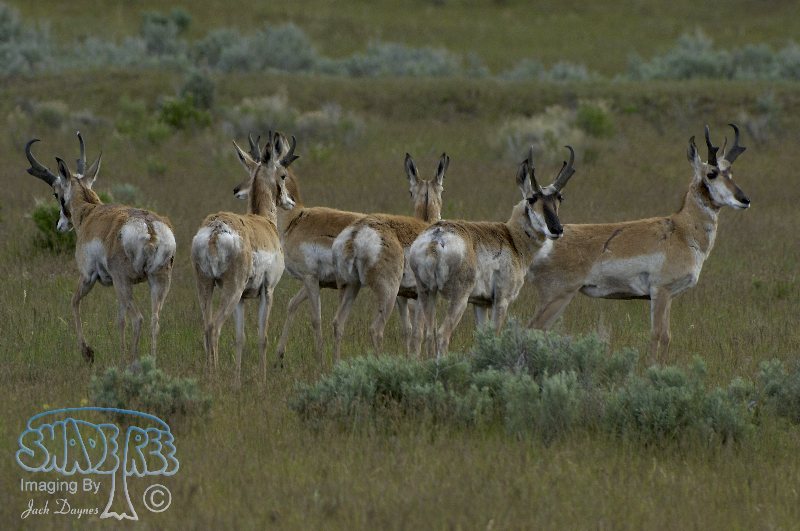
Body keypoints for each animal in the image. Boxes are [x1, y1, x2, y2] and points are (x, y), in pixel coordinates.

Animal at [25, 132, 176, 363]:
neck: (90, 211)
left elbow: (74, 302)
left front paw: (87, 352)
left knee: (138, 319)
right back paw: (150, 361)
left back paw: (131, 363)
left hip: (124, 283)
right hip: (157, 283)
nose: (59, 225)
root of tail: (148, 226)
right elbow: (119, 320)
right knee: (153, 320)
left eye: (55, 194)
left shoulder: (88, 277)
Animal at [191, 132, 296, 385]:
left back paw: (209, 375)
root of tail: (215, 230)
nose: (291, 202)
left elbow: (241, 338)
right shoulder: (267, 291)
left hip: (206, 286)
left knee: (206, 326)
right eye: (283, 175)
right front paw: (262, 380)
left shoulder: (242, 300)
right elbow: (262, 337)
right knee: (214, 327)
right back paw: (215, 377)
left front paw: (237, 381)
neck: (263, 221)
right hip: (231, 289)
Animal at [331, 153, 449, 360]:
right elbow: (422, 333)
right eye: (442, 190)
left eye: (410, 192)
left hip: (350, 287)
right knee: (376, 329)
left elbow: (408, 331)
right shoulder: (420, 296)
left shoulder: (403, 298)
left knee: (338, 324)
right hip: (387, 292)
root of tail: (356, 232)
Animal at [410, 146, 577, 358]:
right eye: (532, 198)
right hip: (458, 298)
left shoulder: (480, 304)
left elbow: (482, 337)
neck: (511, 237)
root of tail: (435, 239)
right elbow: (495, 336)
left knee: (429, 334)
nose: (557, 229)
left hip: (427, 294)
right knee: (441, 334)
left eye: (559, 197)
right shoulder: (501, 301)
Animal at [527, 124, 750, 361]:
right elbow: (656, 335)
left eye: (731, 172)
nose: (745, 199)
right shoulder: (660, 292)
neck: (681, 229)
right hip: (557, 296)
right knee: (532, 328)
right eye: (712, 173)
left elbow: (667, 336)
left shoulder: (669, 297)